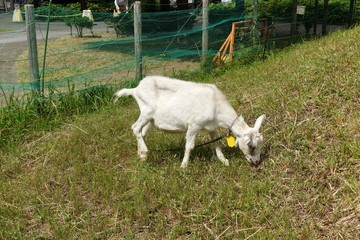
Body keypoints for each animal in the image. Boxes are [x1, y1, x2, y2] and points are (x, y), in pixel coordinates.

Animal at [114, 76, 266, 168]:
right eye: (251, 146)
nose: (257, 162)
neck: (215, 104)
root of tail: (135, 89)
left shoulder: (211, 127)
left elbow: (216, 143)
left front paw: (224, 161)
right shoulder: (194, 124)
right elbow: (189, 146)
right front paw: (184, 166)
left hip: (150, 119)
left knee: (141, 132)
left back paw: (141, 155)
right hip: (147, 111)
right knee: (135, 128)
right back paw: (144, 152)